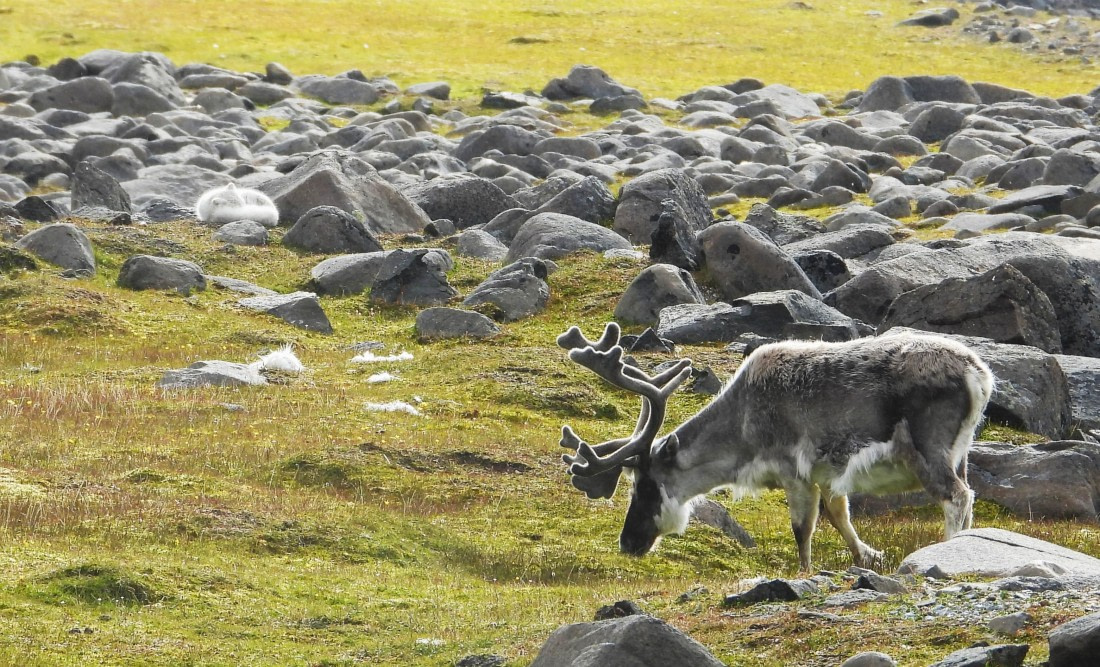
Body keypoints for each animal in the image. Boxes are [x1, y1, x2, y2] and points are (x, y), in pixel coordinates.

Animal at [557, 322, 994, 571]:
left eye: (645, 487)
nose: (628, 543)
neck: (742, 429)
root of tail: (980, 375)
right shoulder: (829, 475)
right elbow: (840, 516)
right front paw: (868, 558)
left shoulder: (793, 470)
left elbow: (803, 528)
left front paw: (803, 572)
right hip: (961, 452)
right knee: (968, 494)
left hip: (928, 450)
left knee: (957, 497)